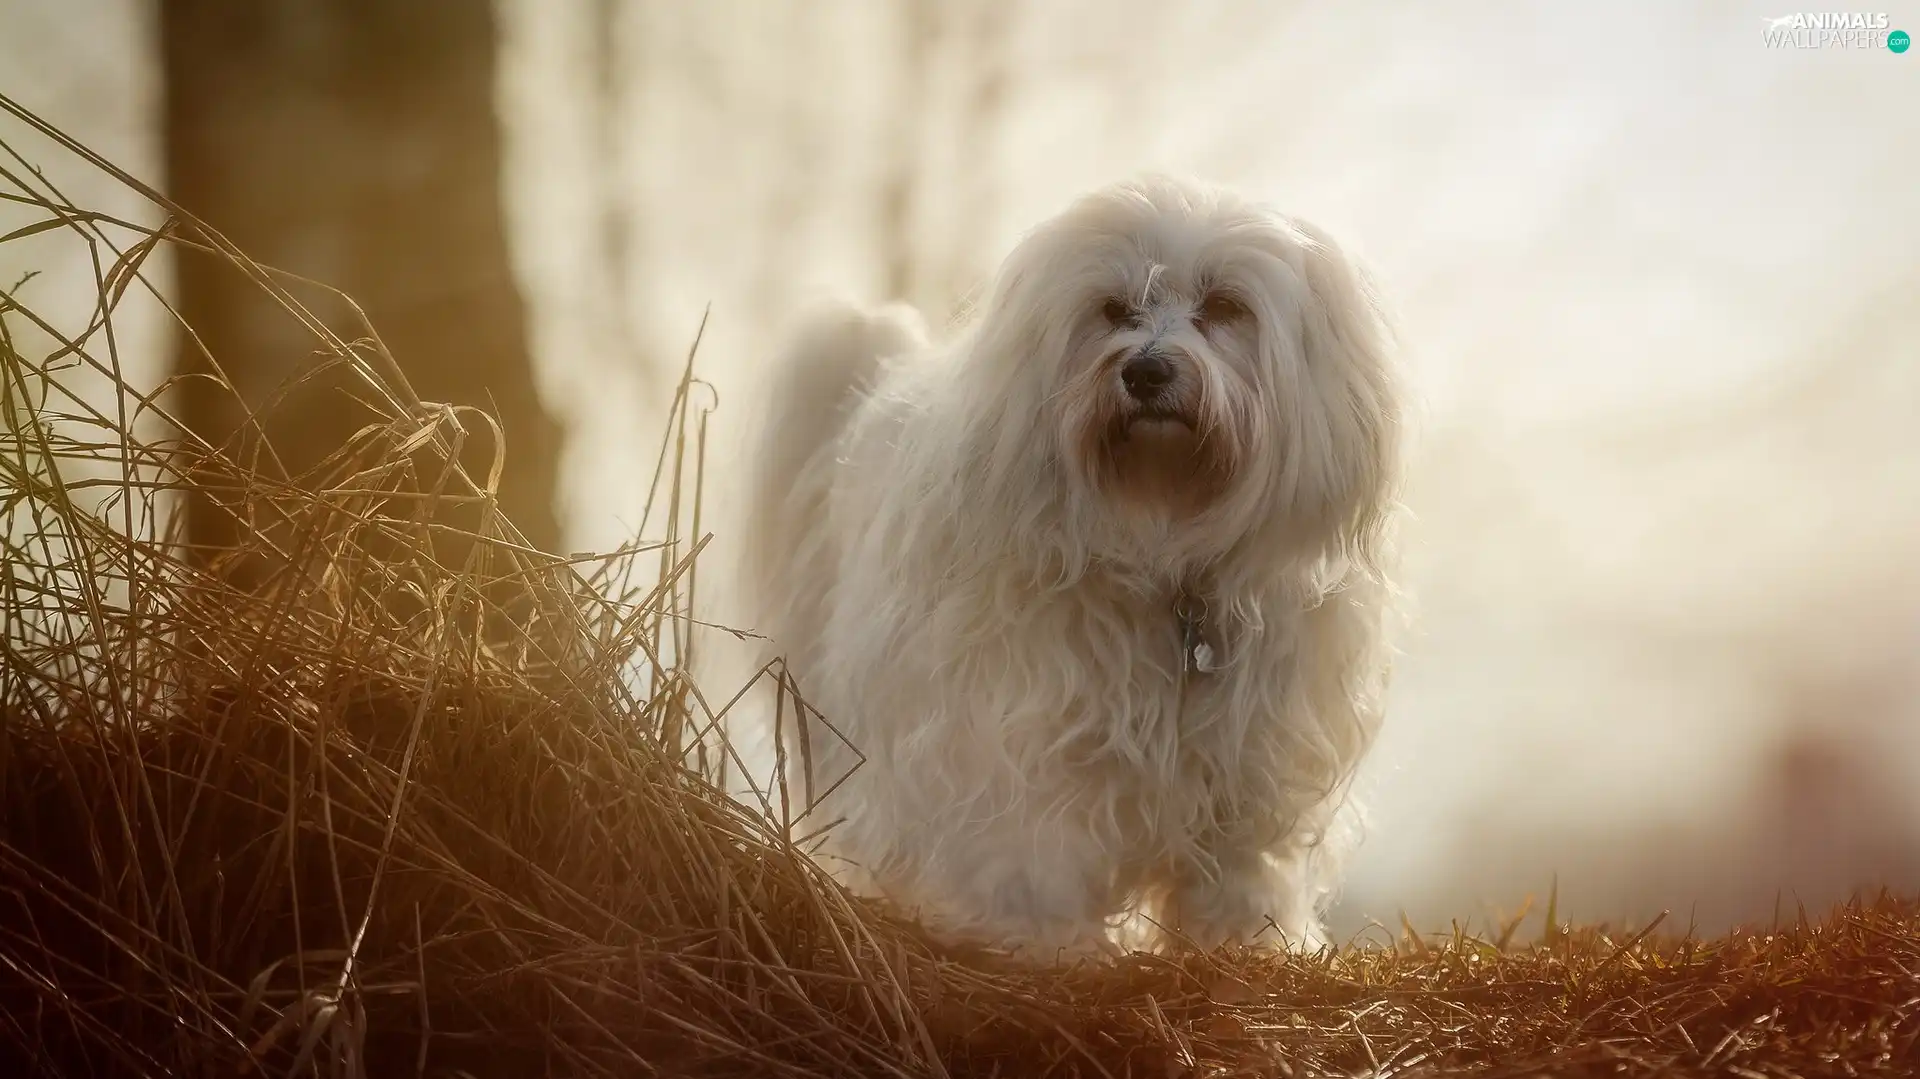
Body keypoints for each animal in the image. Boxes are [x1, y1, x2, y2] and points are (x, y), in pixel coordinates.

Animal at [741, 176, 1405, 956]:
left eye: (1224, 307)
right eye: (1114, 309)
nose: (1145, 370)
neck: (1161, 539)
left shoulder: (1254, 749)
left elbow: (1243, 859)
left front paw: (1246, 939)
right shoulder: (1017, 722)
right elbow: (1034, 838)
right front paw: (1046, 940)